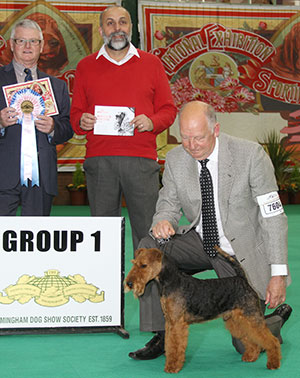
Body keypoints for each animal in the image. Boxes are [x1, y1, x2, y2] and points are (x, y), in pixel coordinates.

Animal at [124, 247, 282, 374]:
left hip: (251, 317)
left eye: (144, 265)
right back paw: (251, 356)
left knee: (271, 340)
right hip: (238, 320)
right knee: (251, 340)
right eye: (134, 263)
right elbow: (169, 344)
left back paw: (273, 363)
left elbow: (175, 346)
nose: (129, 283)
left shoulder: (177, 324)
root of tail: (242, 278)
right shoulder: (170, 322)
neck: (171, 282)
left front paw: (172, 367)